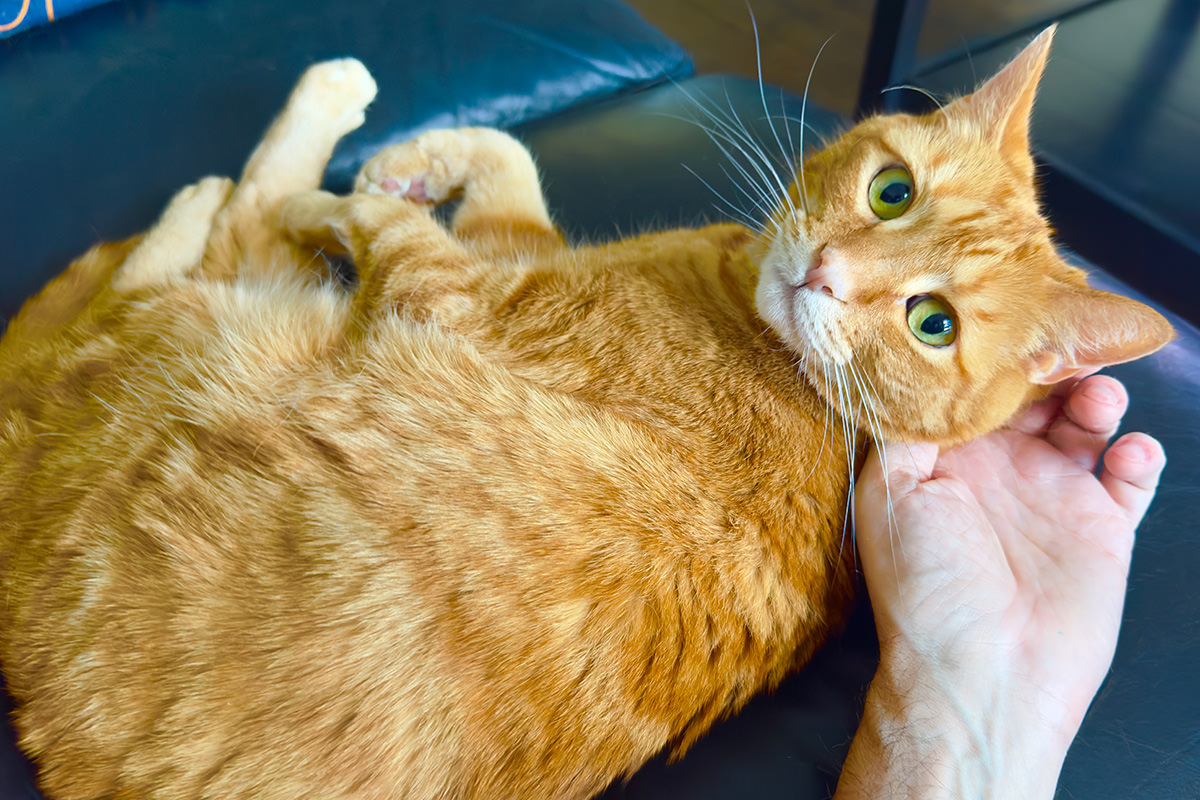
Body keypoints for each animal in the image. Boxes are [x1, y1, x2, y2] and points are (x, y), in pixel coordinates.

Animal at [0, 26, 1171, 800]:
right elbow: (508, 161)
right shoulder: (514, 253)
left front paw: (351, 182)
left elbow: (363, 217)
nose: (827, 274)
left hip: (215, 334)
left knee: (182, 252)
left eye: (934, 322)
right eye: (892, 191)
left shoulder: (457, 293)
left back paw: (267, 151)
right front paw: (419, 156)